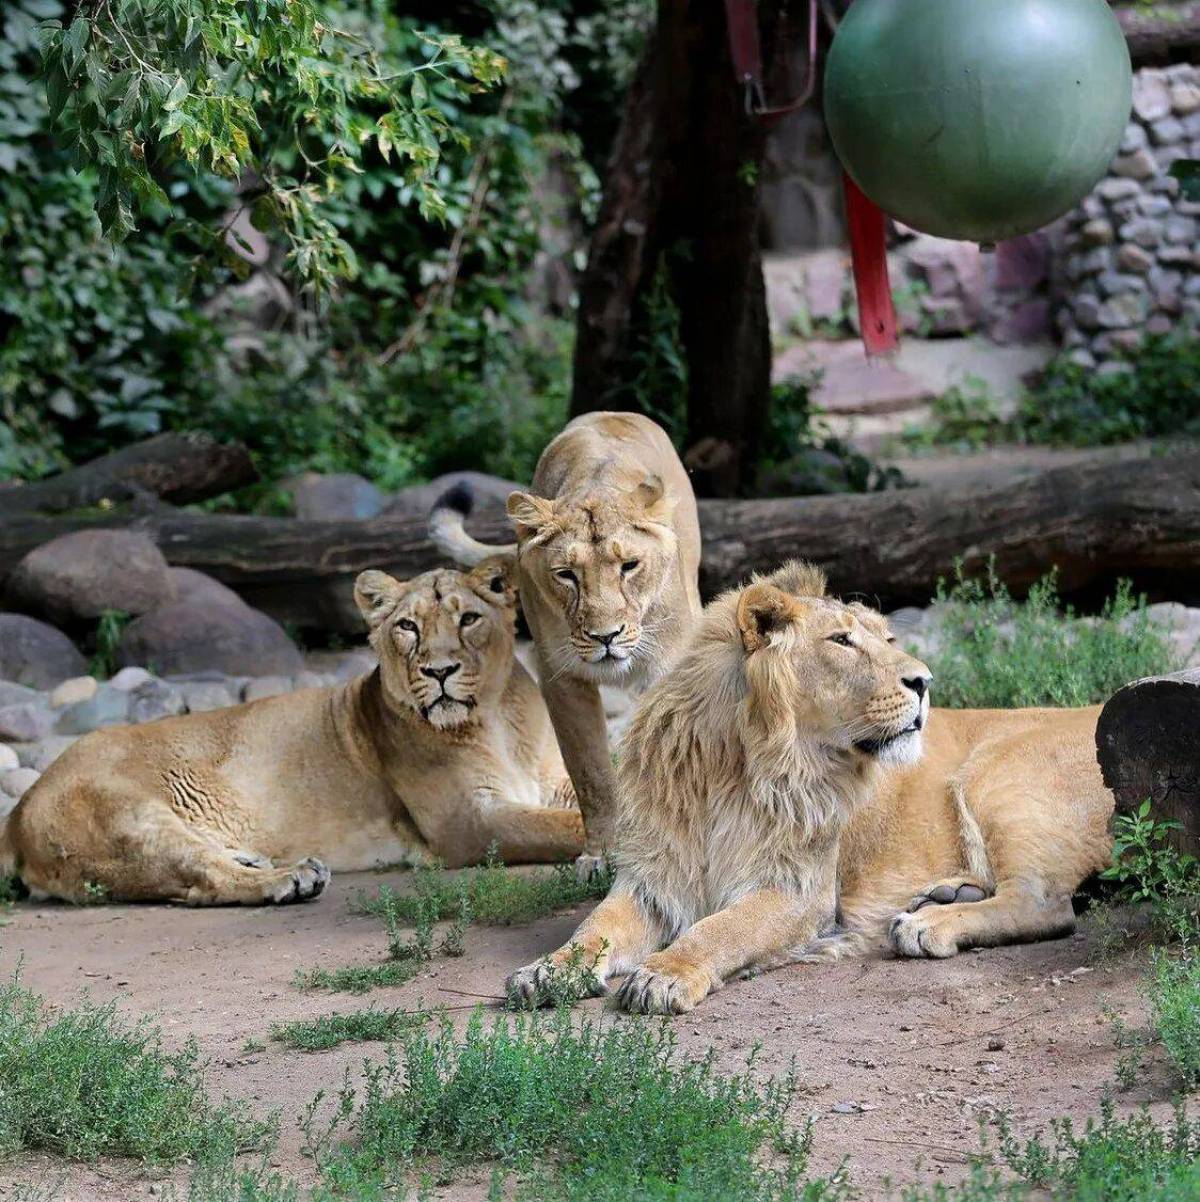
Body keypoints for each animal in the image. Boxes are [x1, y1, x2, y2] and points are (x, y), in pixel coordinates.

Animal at [0, 562, 581, 903]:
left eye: (467, 620)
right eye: (407, 627)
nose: (439, 671)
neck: (496, 719)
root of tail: (21, 807)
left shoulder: (555, 782)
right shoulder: (468, 823)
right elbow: (559, 826)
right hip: (132, 819)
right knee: (200, 881)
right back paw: (289, 878)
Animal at [435, 413, 702, 875]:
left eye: (629, 565)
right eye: (566, 575)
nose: (605, 636)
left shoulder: (667, 671)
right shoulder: (561, 679)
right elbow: (591, 773)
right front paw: (600, 855)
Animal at [509, 557, 1115, 1009]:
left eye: (887, 637)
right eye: (842, 641)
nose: (924, 681)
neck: (735, 768)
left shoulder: (800, 890)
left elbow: (722, 929)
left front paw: (665, 973)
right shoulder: (654, 880)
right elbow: (593, 929)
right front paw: (546, 971)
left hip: (997, 771)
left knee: (1046, 905)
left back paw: (929, 925)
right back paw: (943, 895)